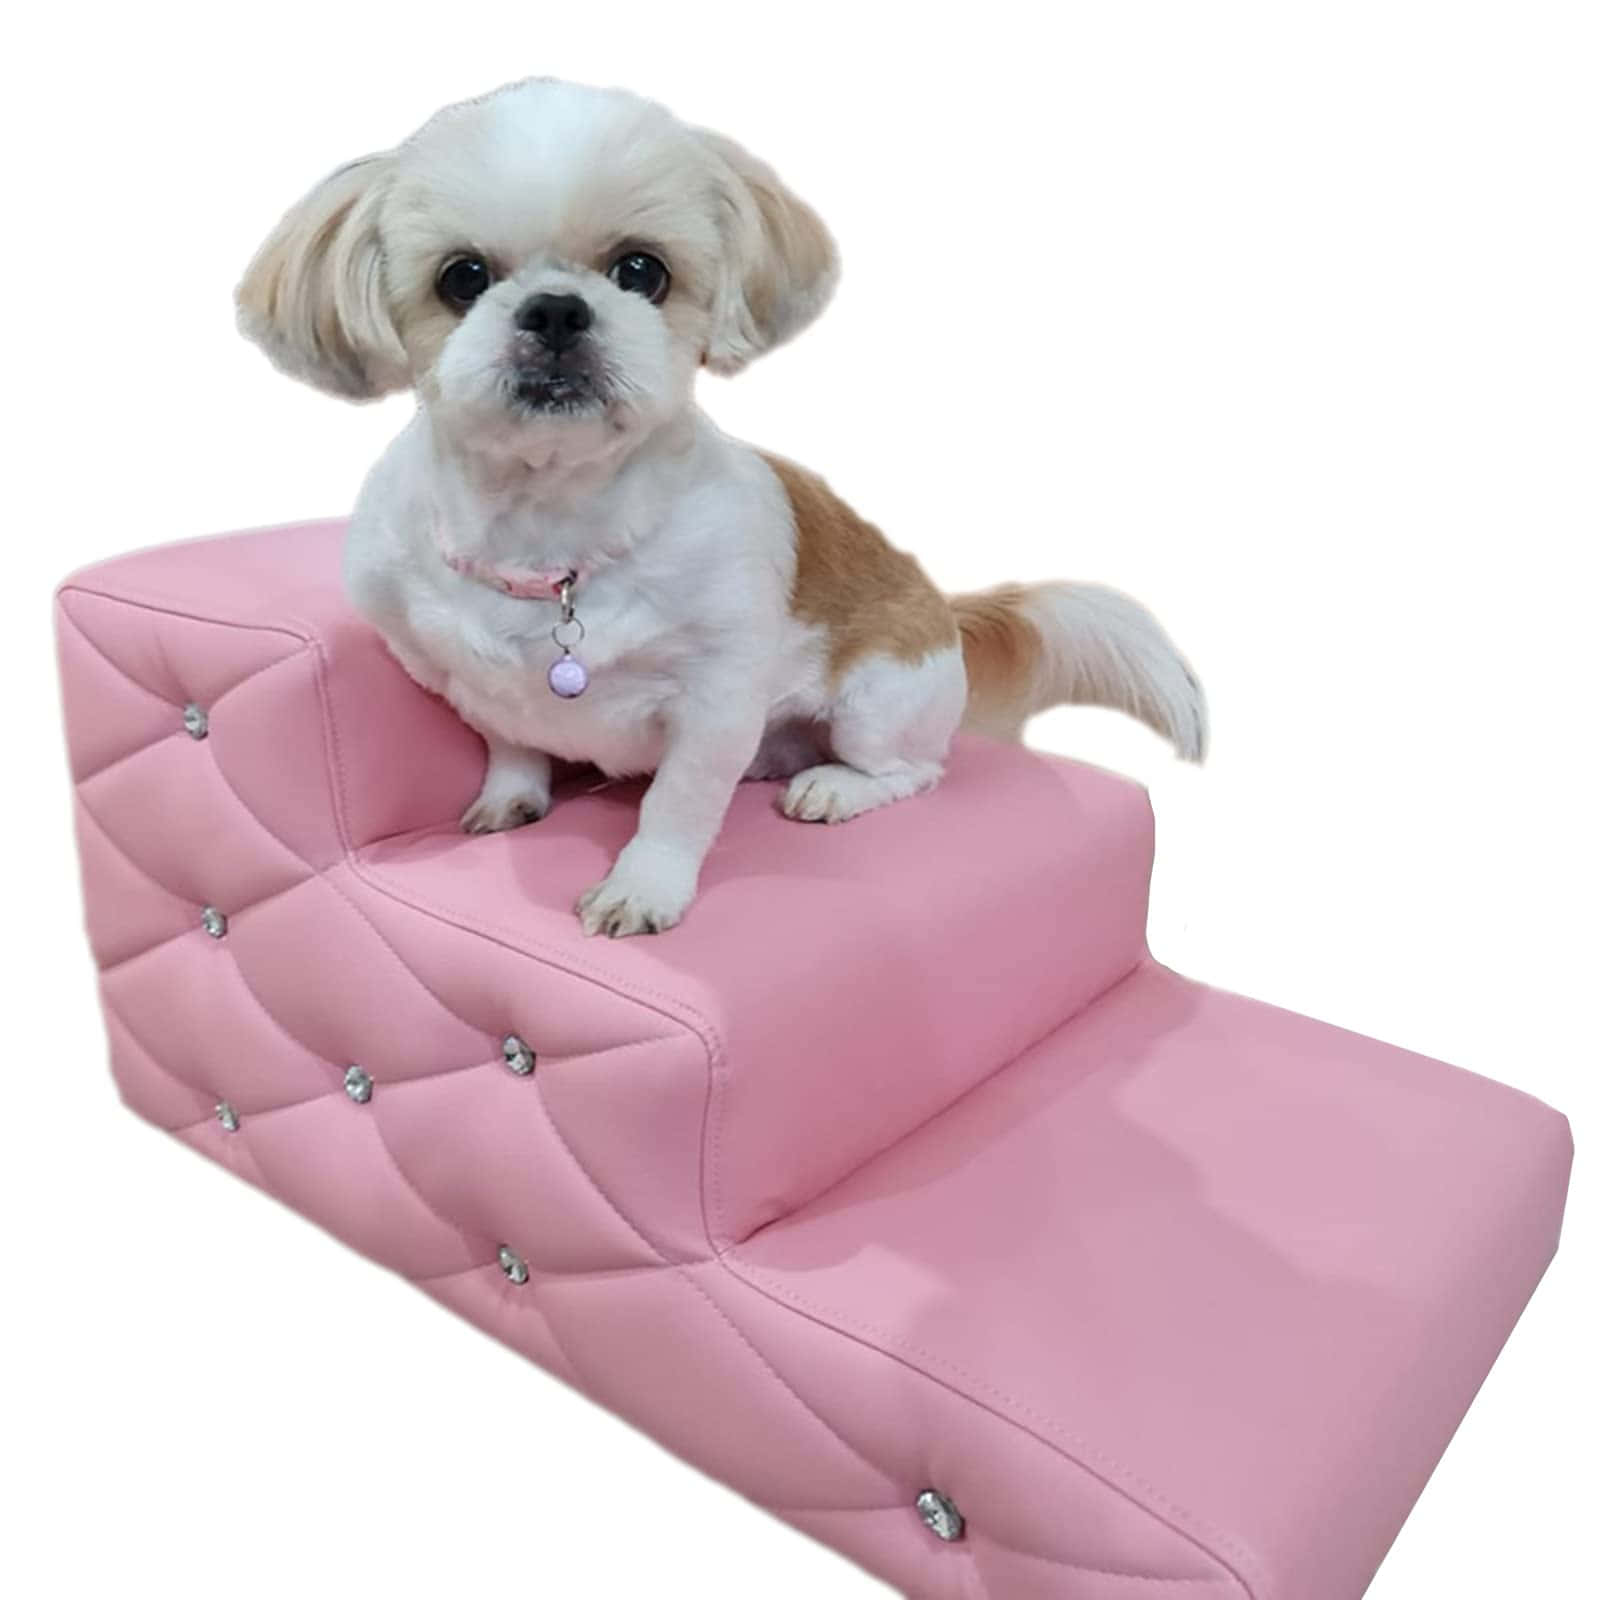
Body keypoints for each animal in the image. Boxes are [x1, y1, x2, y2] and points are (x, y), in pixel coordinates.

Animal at [236, 78, 1203, 934]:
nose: (556, 310)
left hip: (879, 702)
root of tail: (943, 608)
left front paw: (642, 891)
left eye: (642, 271)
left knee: (917, 771)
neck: (551, 535)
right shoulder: (449, 675)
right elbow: (511, 742)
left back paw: (832, 787)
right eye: (462, 278)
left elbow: (676, 805)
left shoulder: (717, 702)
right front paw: (512, 798)